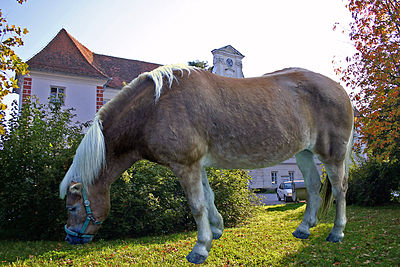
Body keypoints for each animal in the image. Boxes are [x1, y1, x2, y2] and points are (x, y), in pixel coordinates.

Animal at [59, 63, 354, 264]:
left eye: (72, 208)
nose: (71, 238)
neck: (154, 107)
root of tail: (340, 89)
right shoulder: (197, 165)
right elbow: (209, 198)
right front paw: (217, 229)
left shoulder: (185, 165)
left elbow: (196, 205)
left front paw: (200, 248)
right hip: (304, 152)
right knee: (313, 185)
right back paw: (304, 227)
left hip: (332, 155)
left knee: (339, 189)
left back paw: (337, 232)